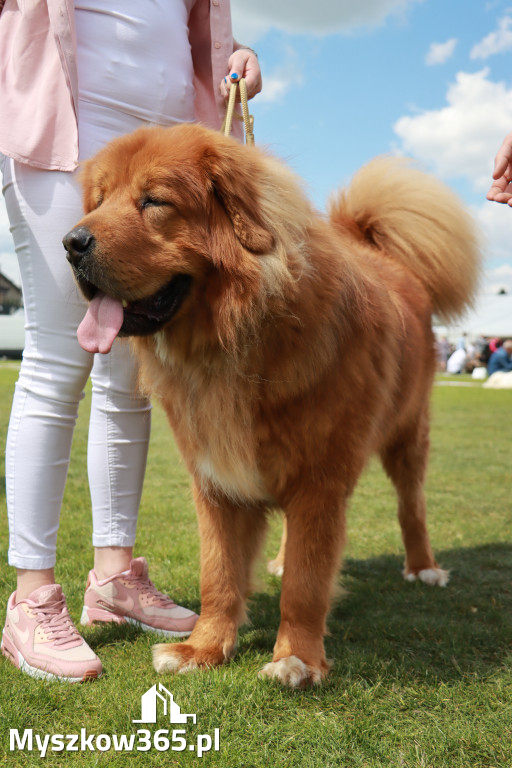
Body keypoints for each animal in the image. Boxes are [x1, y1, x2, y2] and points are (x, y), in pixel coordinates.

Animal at [63, 126, 480, 688]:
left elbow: (306, 583)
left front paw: (296, 659)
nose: (71, 243)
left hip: (407, 436)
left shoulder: (320, 481)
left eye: (154, 201)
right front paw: (204, 648)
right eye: (100, 201)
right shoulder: (217, 482)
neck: (233, 337)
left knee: (411, 505)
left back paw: (424, 567)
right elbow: (219, 574)